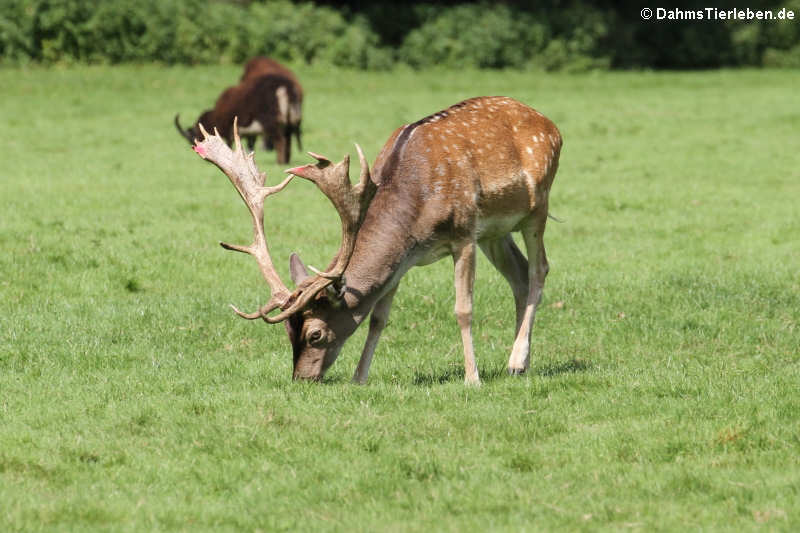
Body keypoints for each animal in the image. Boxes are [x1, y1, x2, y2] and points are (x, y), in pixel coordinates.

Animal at [193, 97, 564, 384]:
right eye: (287, 332)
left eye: (315, 334)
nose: (301, 378)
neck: (415, 209)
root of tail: (551, 125)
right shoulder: (406, 259)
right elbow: (378, 317)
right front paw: (359, 377)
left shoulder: (464, 234)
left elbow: (463, 309)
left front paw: (471, 379)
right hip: (495, 232)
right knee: (519, 275)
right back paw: (518, 363)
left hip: (537, 207)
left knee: (540, 269)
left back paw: (516, 359)